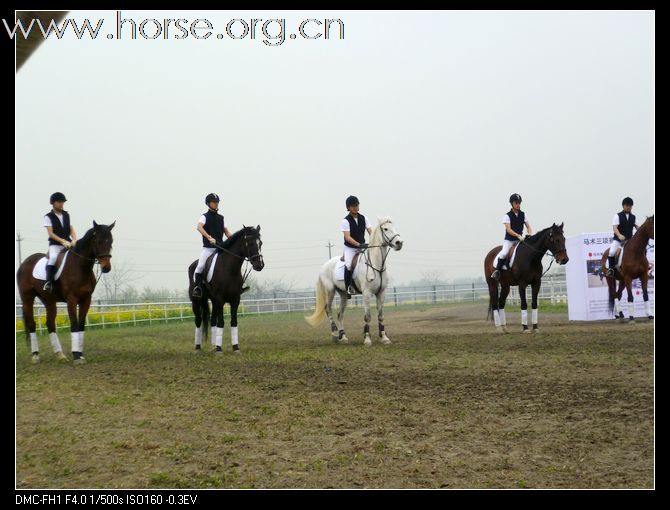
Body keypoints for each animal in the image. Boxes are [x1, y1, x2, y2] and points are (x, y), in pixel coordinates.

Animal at [16, 221, 115, 364]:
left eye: (111, 241)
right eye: (99, 241)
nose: (106, 267)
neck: (80, 266)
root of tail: (25, 263)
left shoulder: (86, 300)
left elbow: (81, 325)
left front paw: (80, 353)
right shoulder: (71, 300)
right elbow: (74, 324)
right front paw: (76, 355)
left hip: (49, 300)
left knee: (50, 324)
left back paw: (60, 354)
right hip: (27, 298)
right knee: (31, 324)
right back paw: (35, 355)